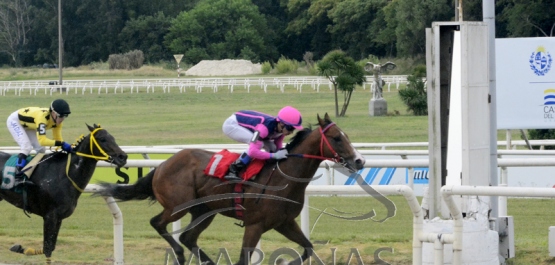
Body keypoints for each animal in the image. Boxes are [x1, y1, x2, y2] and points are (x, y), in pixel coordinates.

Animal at [0, 122, 127, 262]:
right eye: (102, 139)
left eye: (113, 137)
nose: (123, 157)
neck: (64, 175)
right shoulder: (50, 216)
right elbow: (47, 249)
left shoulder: (59, 217)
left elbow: (50, 247)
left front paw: (20, 248)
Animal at [96, 113, 364, 264]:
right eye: (337, 138)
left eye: (347, 135)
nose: (359, 160)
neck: (284, 178)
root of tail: (162, 165)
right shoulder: (255, 225)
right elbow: (244, 259)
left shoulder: (285, 223)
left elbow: (308, 248)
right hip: (178, 206)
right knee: (159, 224)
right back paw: (179, 255)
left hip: (204, 211)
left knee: (188, 237)